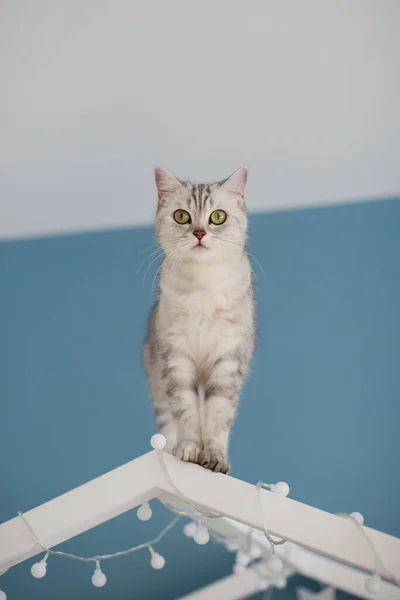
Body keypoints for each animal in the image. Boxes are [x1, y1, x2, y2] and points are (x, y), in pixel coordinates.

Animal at [142, 165, 255, 474]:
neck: (203, 287)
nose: (200, 232)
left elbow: (219, 416)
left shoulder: (228, 362)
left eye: (218, 217)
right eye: (182, 216)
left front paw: (214, 457)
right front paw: (189, 450)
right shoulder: (176, 360)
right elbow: (185, 411)